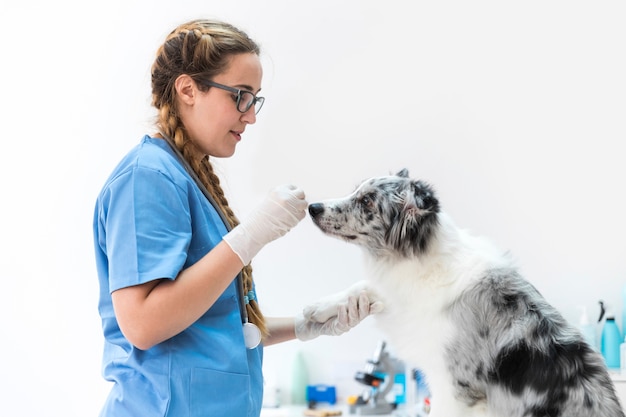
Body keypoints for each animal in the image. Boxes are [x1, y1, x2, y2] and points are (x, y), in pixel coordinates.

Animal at [304, 168, 620, 416]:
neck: (421, 259)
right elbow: (363, 286)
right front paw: (319, 308)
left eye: (367, 200)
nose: (313, 207)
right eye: (356, 191)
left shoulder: (454, 387)